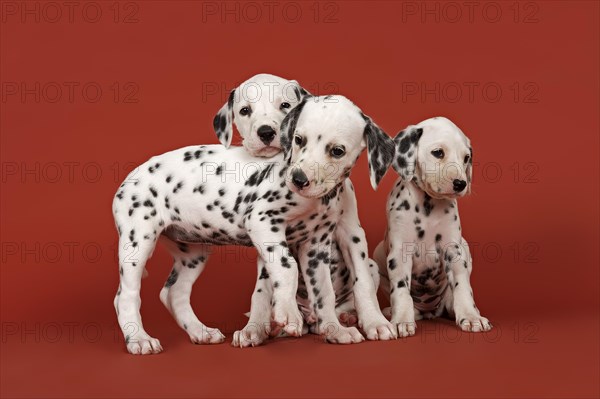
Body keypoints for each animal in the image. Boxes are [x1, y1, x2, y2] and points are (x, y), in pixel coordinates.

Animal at [112, 94, 396, 356]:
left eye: (337, 151)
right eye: (299, 140)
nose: (298, 179)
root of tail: (130, 177)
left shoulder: (315, 245)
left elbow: (323, 292)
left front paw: (335, 330)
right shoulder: (264, 222)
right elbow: (287, 267)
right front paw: (288, 313)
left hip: (193, 252)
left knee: (174, 292)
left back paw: (200, 332)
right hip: (138, 242)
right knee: (125, 296)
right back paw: (139, 339)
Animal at [376, 118, 492, 338]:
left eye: (466, 158)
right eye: (438, 152)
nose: (461, 183)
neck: (428, 206)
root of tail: (430, 311)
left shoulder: (454, 250)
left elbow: (463, 287)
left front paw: (471, 317)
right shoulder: (400, 253)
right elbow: (401, 290)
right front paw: (401, 320)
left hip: (465, 247)